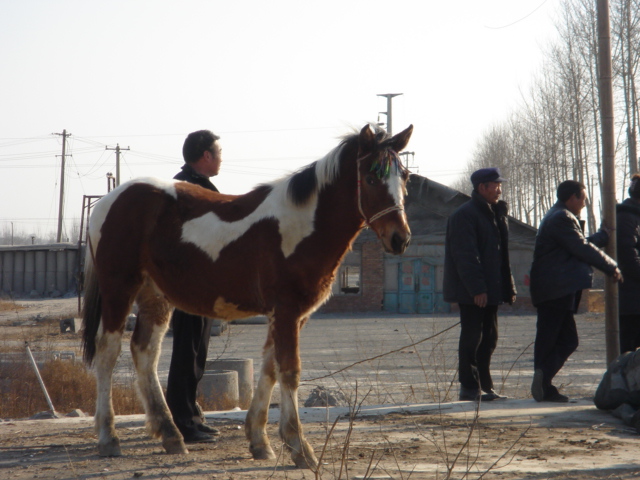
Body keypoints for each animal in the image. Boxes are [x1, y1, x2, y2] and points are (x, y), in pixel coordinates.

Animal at [82, 124, 412, 468]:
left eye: (405, 177)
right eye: (371, 178)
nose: (400, 238)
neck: (301, 226)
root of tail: (108, 201)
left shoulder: (291, 316)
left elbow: (269, 368)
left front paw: (259, 441)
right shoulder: (286, 311)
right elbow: (289, 371)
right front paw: (300, 447)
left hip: (155, 296)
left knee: (145, 352)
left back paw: (171, 435)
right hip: (119, 288)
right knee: (107, 352)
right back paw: (109, 437)